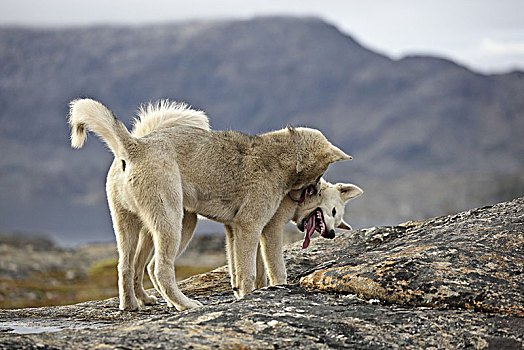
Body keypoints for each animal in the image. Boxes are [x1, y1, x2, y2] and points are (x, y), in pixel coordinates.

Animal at [66, 98, 352, 312]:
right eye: (320, 176)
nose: (331, 234)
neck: (281, 155)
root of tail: (136, 146)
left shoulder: (234, 229)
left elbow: (240, 269)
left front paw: (242, 293)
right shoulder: (254, 226)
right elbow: (256, 270)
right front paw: (252, 293)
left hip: (130, 224)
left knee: (126, 266)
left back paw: (132, 305)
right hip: (173, 223)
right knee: (159, 269)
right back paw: (184, 304)